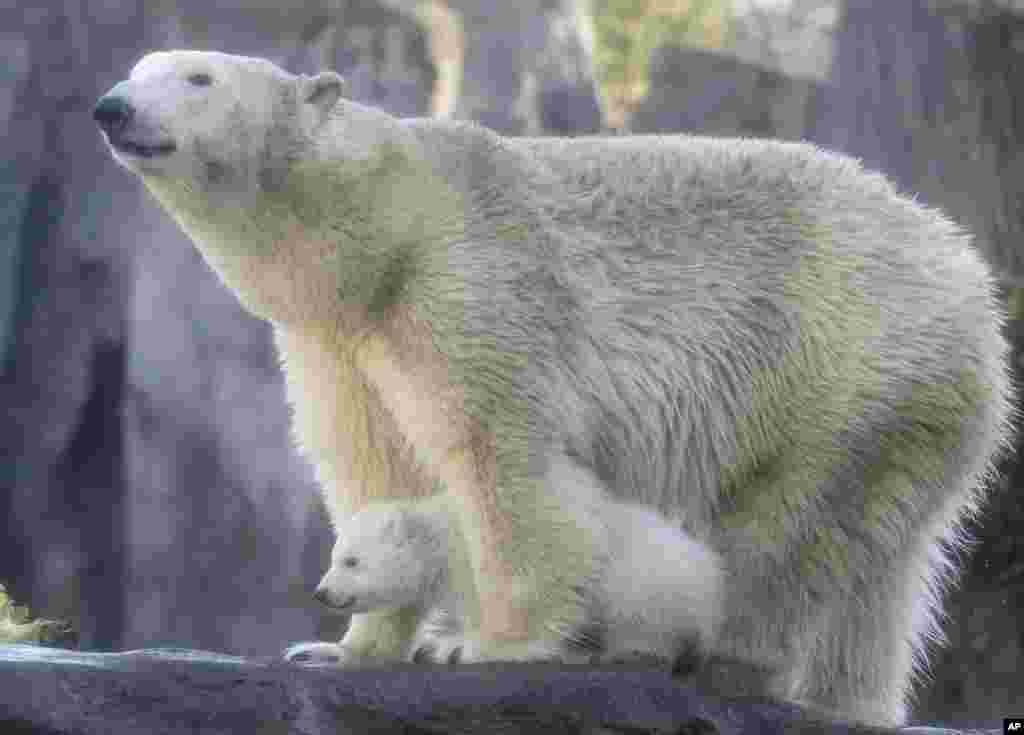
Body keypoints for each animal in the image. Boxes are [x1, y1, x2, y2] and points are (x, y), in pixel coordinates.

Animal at [94, 50, 1007, 724]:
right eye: (139, 68)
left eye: (198, 76)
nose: (112, 107)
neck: (385, 226)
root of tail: (970, 273)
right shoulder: (339, 342)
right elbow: (378, 466)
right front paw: (340, 645)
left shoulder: (465, 281)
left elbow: (502, 455)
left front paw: (488, 646)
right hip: (912, 407)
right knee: (881, 569)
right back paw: (851, 698)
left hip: (843, 361)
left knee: (783, 533)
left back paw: (722, 659)